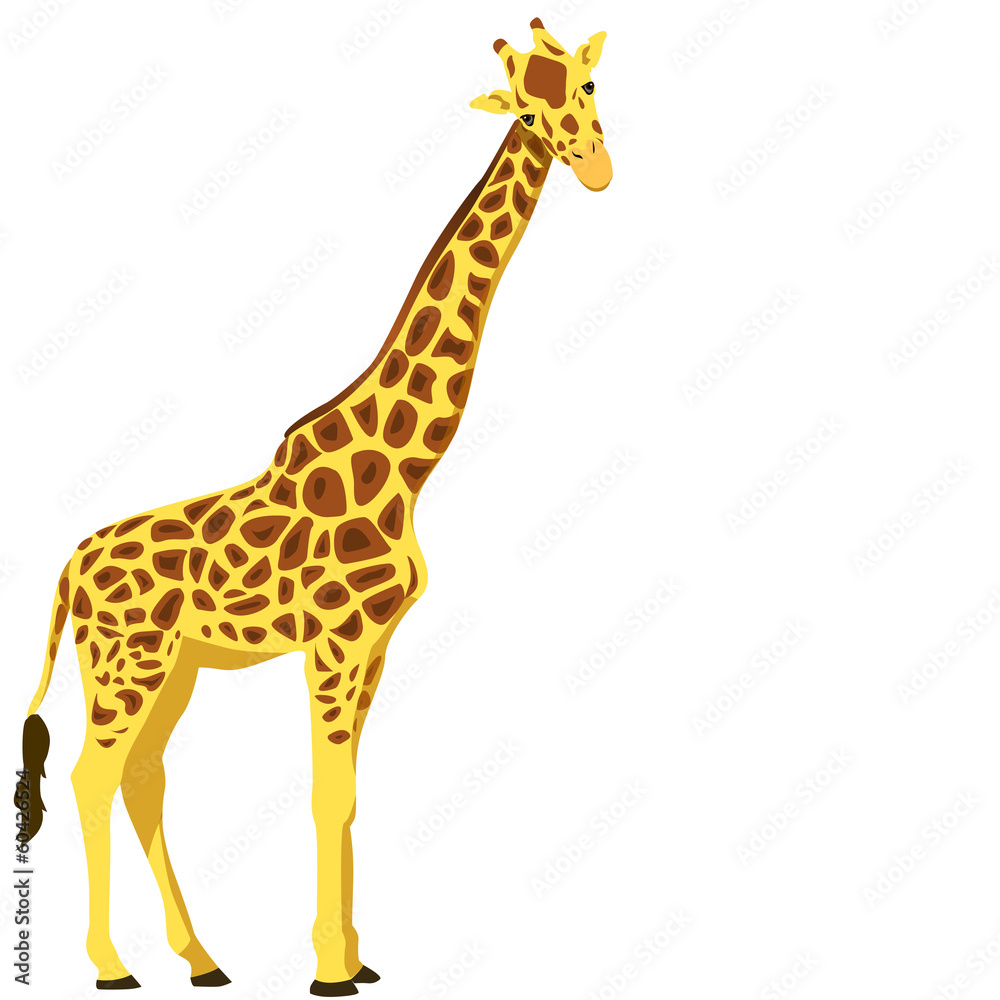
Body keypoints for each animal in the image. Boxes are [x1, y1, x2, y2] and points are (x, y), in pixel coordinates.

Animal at [18, 19, 611, 997]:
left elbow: (351, 794)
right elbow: (327, 792)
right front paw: (331, 968)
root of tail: (68, 567)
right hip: (125, 663)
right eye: (526, 108)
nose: (595, 168)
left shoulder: (374, 646)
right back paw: (112, 967)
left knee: (143, 774)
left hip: (176, 666)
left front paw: (359, 959)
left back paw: (202, 960)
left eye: (588, 88)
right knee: (88, 776)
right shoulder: (334, 641)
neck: (405, 469)